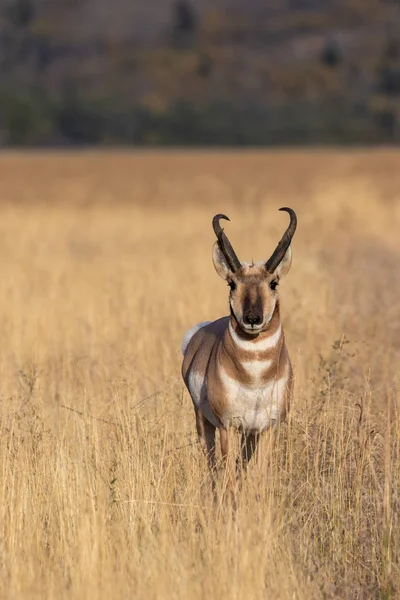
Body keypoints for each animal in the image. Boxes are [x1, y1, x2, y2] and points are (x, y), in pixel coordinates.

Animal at [181, 209, 296, 490]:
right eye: (232, 284)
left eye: (274, 283)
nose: (252, 318)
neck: (254, 377)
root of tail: (198, 334)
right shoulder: (228, 427)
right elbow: (230, 478)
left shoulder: (268, 429)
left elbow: (260, 476)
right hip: (204, 425)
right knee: (214, 465)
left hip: (249, 435)